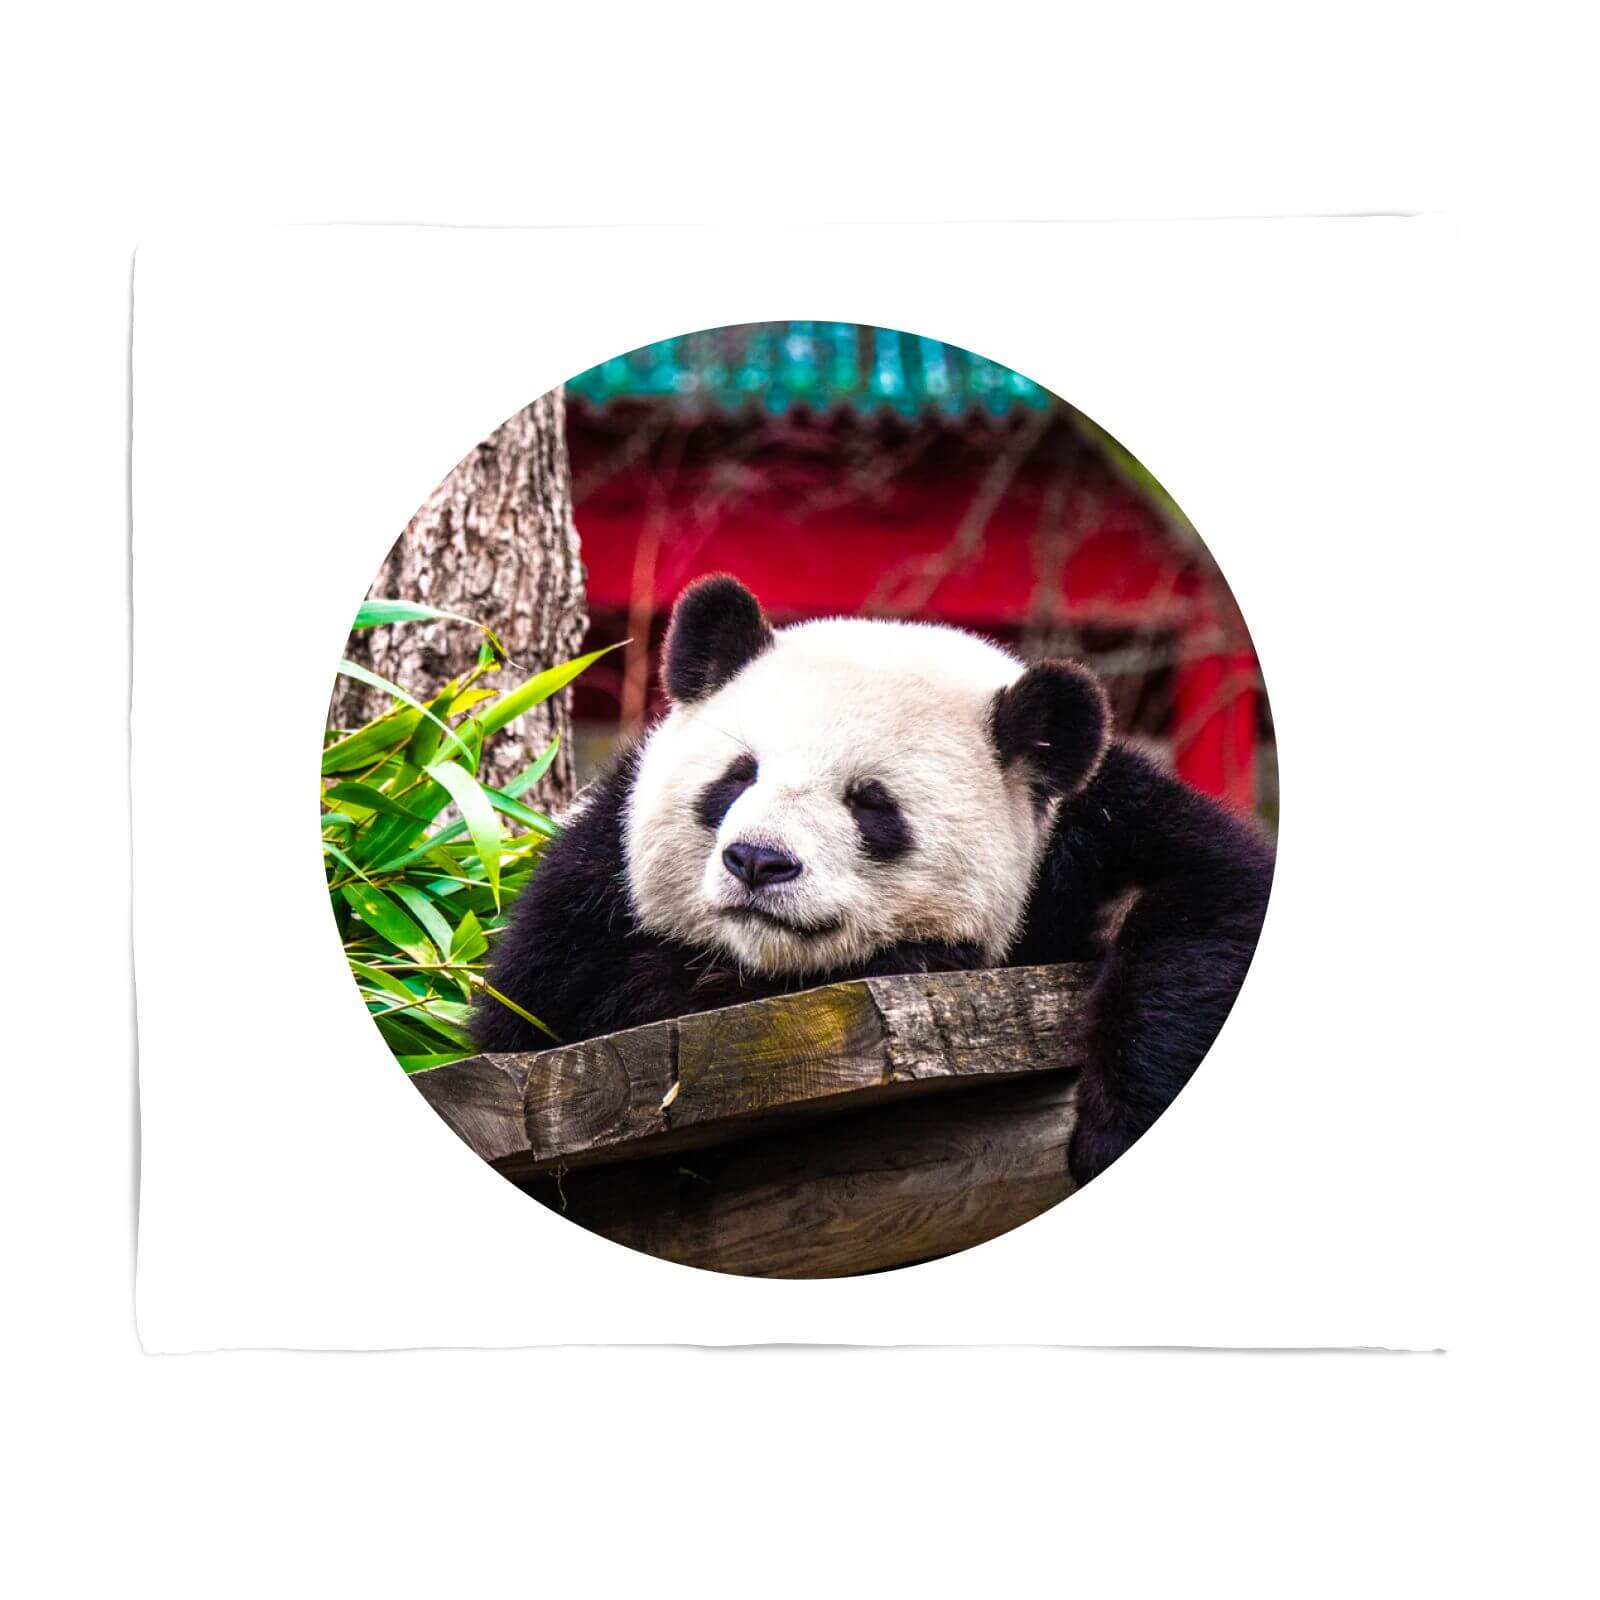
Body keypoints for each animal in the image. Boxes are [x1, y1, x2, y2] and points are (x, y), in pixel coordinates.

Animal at [474, 574, 1274, 1185]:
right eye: (739, 776)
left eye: (870, 803)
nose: (758, 861)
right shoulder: (587, 893)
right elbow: (561, 1007)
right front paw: (923, 958)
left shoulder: (1093, 827)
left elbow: (1209, 898)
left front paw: (1114, 1130)